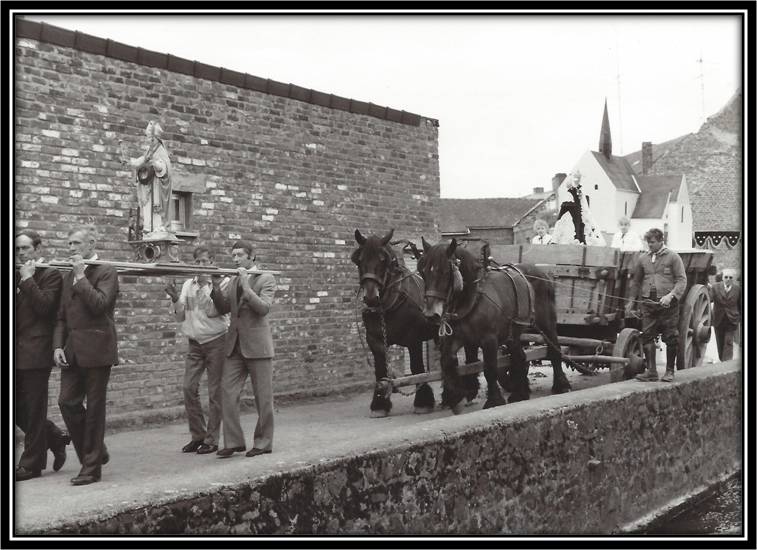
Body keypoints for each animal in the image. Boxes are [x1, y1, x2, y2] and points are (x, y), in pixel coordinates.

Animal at [350, 230, 478, 418]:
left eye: (384, 259)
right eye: (359, 260)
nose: (371, 297)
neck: (391, 303)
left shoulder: (413, 339)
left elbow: (417, 367)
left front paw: (423, 402)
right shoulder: (374, 340)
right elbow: (381, 370)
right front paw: (379, 404)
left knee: (470, 356)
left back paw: (469, 392)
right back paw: (448, 397)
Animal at [416, 237, 568, 414]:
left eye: (445, 272)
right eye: (423, 272)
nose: (430, 314)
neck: (474, 297)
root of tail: (543, 273)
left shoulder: (489, 339)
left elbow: (489, 368)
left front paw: (494, 400)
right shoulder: (460, 337)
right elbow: (449, 361)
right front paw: (455, 394)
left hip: (547, 323)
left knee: (554, 350)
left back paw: (561, 385)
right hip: (512, 332)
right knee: (520, 357)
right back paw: (520, 393)